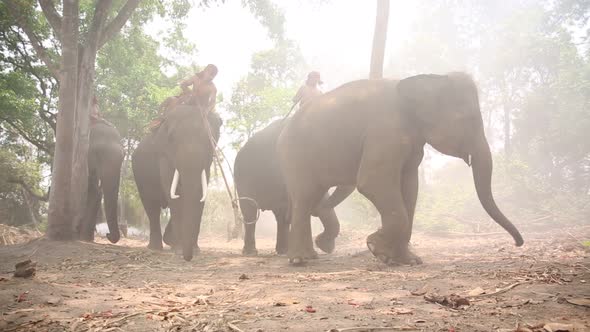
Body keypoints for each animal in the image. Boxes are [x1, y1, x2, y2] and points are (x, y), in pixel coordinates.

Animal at [132, 106, 222, 262]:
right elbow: (174, 194)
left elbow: (199, 194)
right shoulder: (164, 156)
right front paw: (180, 250)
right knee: (151, 206)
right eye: (172, 138)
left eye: (208, 138)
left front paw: (195, 250)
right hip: (140, 174)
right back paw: (155, 248)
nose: (188, 257)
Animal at [235, 119, 356, 256]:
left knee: (280, 216)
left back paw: (283, 251)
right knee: (249, 211)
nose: (327, 246)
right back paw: (251, 252)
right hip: (242, 178)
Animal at [278, 72, 528, 264]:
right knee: (304, 198)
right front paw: (375, 247)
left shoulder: (412, 145)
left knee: (312, 197)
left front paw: (408, 261)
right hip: (295, 156)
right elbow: (371, 182)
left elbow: (410, 188)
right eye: (468, 119)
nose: (518, 243)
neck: (428, 78)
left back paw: (312, 253)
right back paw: (299, 260)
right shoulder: (385, 133)